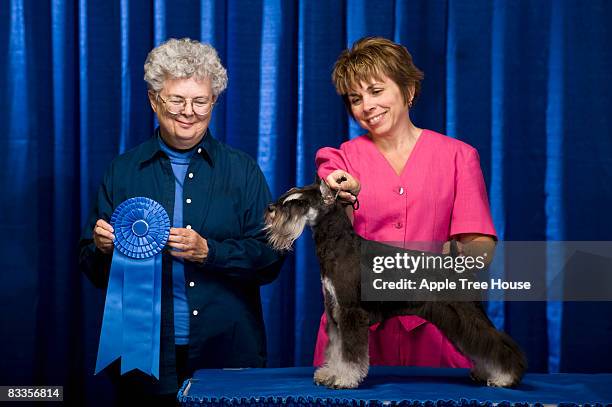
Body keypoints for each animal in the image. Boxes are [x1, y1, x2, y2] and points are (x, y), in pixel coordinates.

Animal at [266, 181, 528, 388]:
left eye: (299, 203)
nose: (270, 209)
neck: (338, 244)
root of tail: (457, 263)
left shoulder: (351, 312)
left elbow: (350, 353)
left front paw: (344, 379)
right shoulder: (334, 312)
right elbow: (336, 348)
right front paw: (329, 373)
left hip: (465, 314)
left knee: (495, 342)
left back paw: (505, 377)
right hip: (455, 322)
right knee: (479, 346)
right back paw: (485, 373)